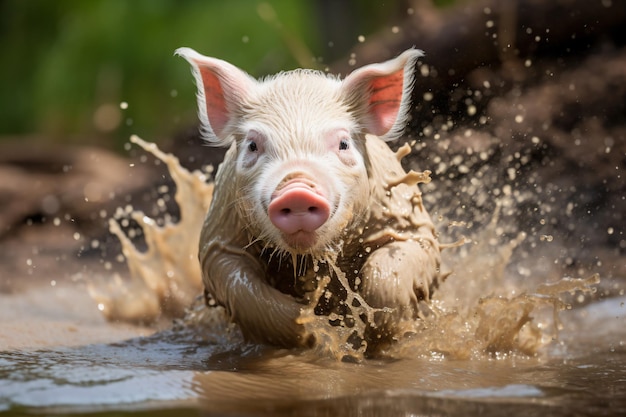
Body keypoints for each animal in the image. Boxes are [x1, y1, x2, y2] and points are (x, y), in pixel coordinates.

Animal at [173, 47, 442, 352]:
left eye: (343, 144)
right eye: (253, 145)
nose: (297, 189)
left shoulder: (408, 220)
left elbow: (390, 268)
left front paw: (379, 335)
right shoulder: (219, 238)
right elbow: (243, 289)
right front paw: (313, 331)